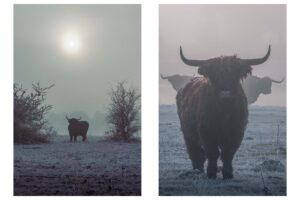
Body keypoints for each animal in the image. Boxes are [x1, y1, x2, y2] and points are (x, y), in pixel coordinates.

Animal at [177, 45, 270, 178]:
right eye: (214, 77)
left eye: (235, 75)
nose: (225, 94)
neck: (224, 112)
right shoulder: (206, 131)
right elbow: (212, 152)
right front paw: (211, 173)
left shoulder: (237, 132)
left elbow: (228, 153)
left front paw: (228, 173)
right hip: (188, 134)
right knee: (196, 153)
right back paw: (197, 170)